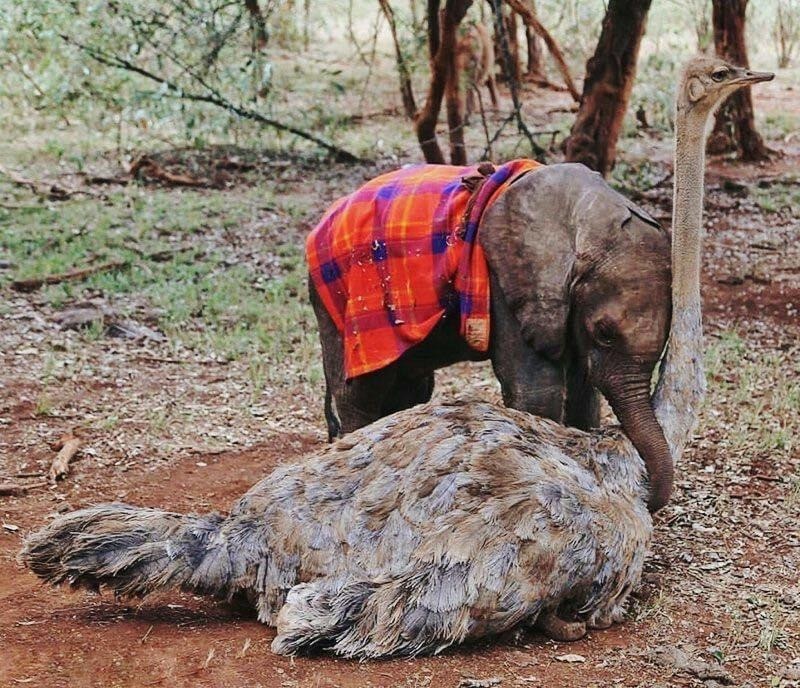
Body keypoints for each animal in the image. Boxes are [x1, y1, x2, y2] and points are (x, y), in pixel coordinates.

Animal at [310, 162, 672, 484]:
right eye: (604, 333)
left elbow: (583, 391)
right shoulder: (508, 279)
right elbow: (537, 391)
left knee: (409, 388)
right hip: (342, 301)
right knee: (362, 392)